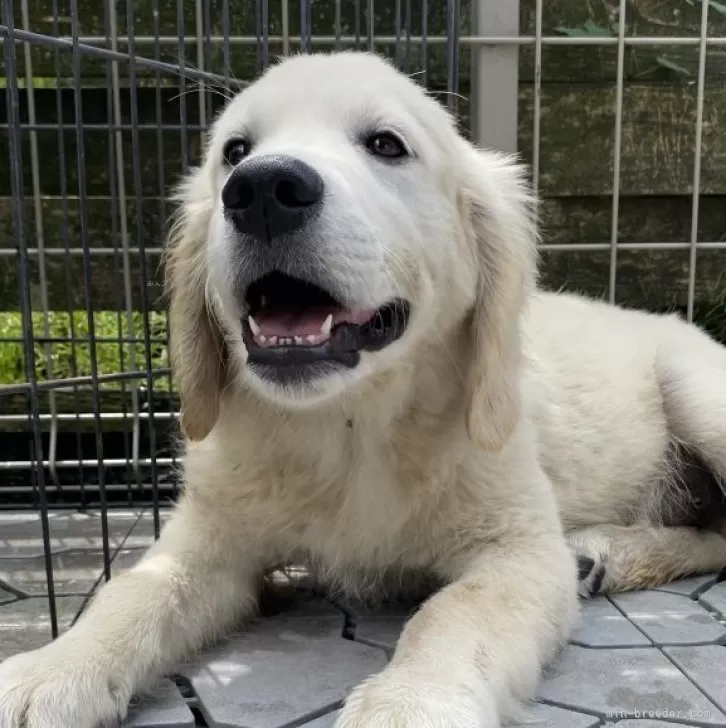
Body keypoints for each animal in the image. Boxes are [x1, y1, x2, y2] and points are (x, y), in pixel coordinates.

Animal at [1, 51, 726, 728]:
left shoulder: (519, 552)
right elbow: (134, 588)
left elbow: (452, 614)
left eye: (386, 144)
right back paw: (608, 554)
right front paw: (53, 669)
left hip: (698, 392)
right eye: (235, 151)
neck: (349, 425)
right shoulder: (209, 536)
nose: (261, 189)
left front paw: (410, 704)